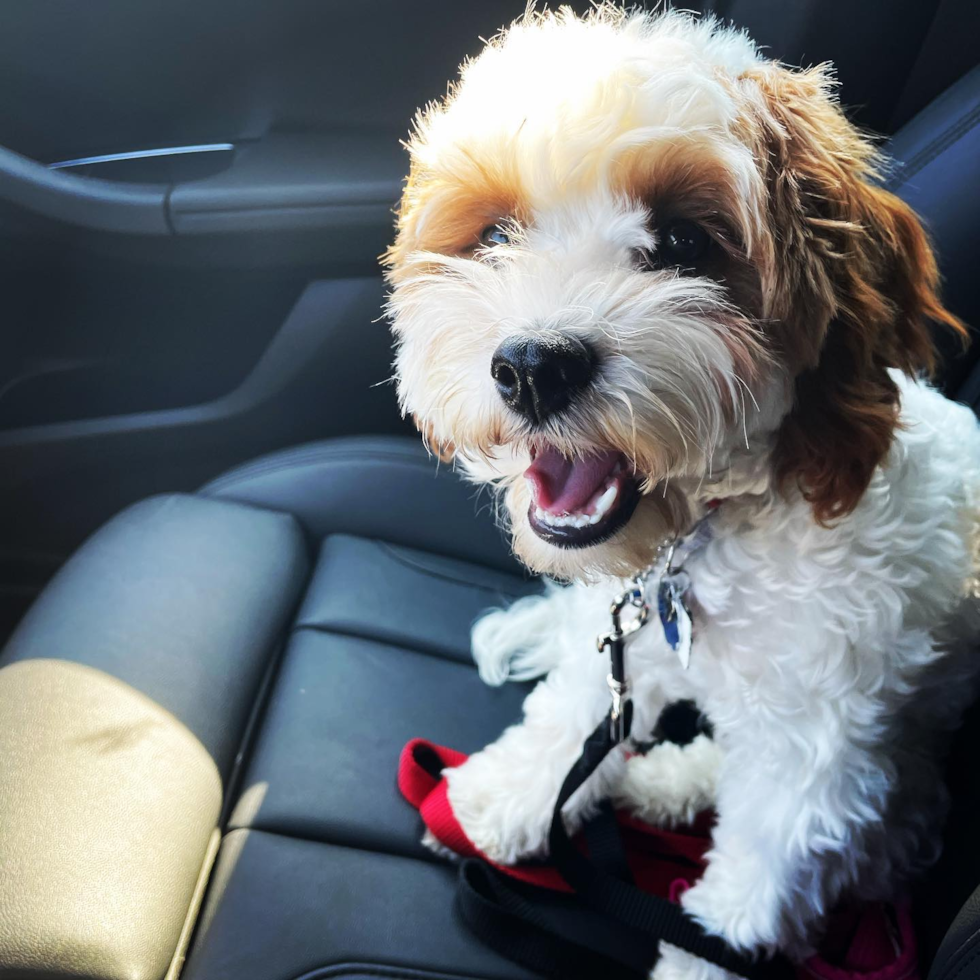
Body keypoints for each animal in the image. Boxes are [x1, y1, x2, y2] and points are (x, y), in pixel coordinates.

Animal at [382, 5, 980, 972]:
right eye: (498, 236)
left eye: (684, 244)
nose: (534, 366)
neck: (719, 532)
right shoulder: (626, 635)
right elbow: (574, 712)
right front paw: (500, 800)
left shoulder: (820, 749)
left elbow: (757, 880)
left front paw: (699, 953)